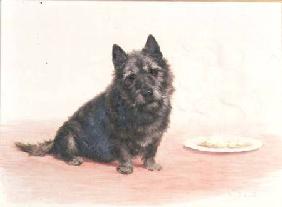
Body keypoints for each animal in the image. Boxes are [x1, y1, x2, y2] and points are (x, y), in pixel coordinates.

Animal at [16, 34, 174, 174]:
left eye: (153, 71)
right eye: (131, 78)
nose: (147, 92)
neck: (143, 110)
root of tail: (54, 141)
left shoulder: (156, 136)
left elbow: (151, 151)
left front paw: (150, 165)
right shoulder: (118, 137)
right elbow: (124, 153)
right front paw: (126, 167)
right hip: (69, 134)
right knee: (60, 153)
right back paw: (72, 158)